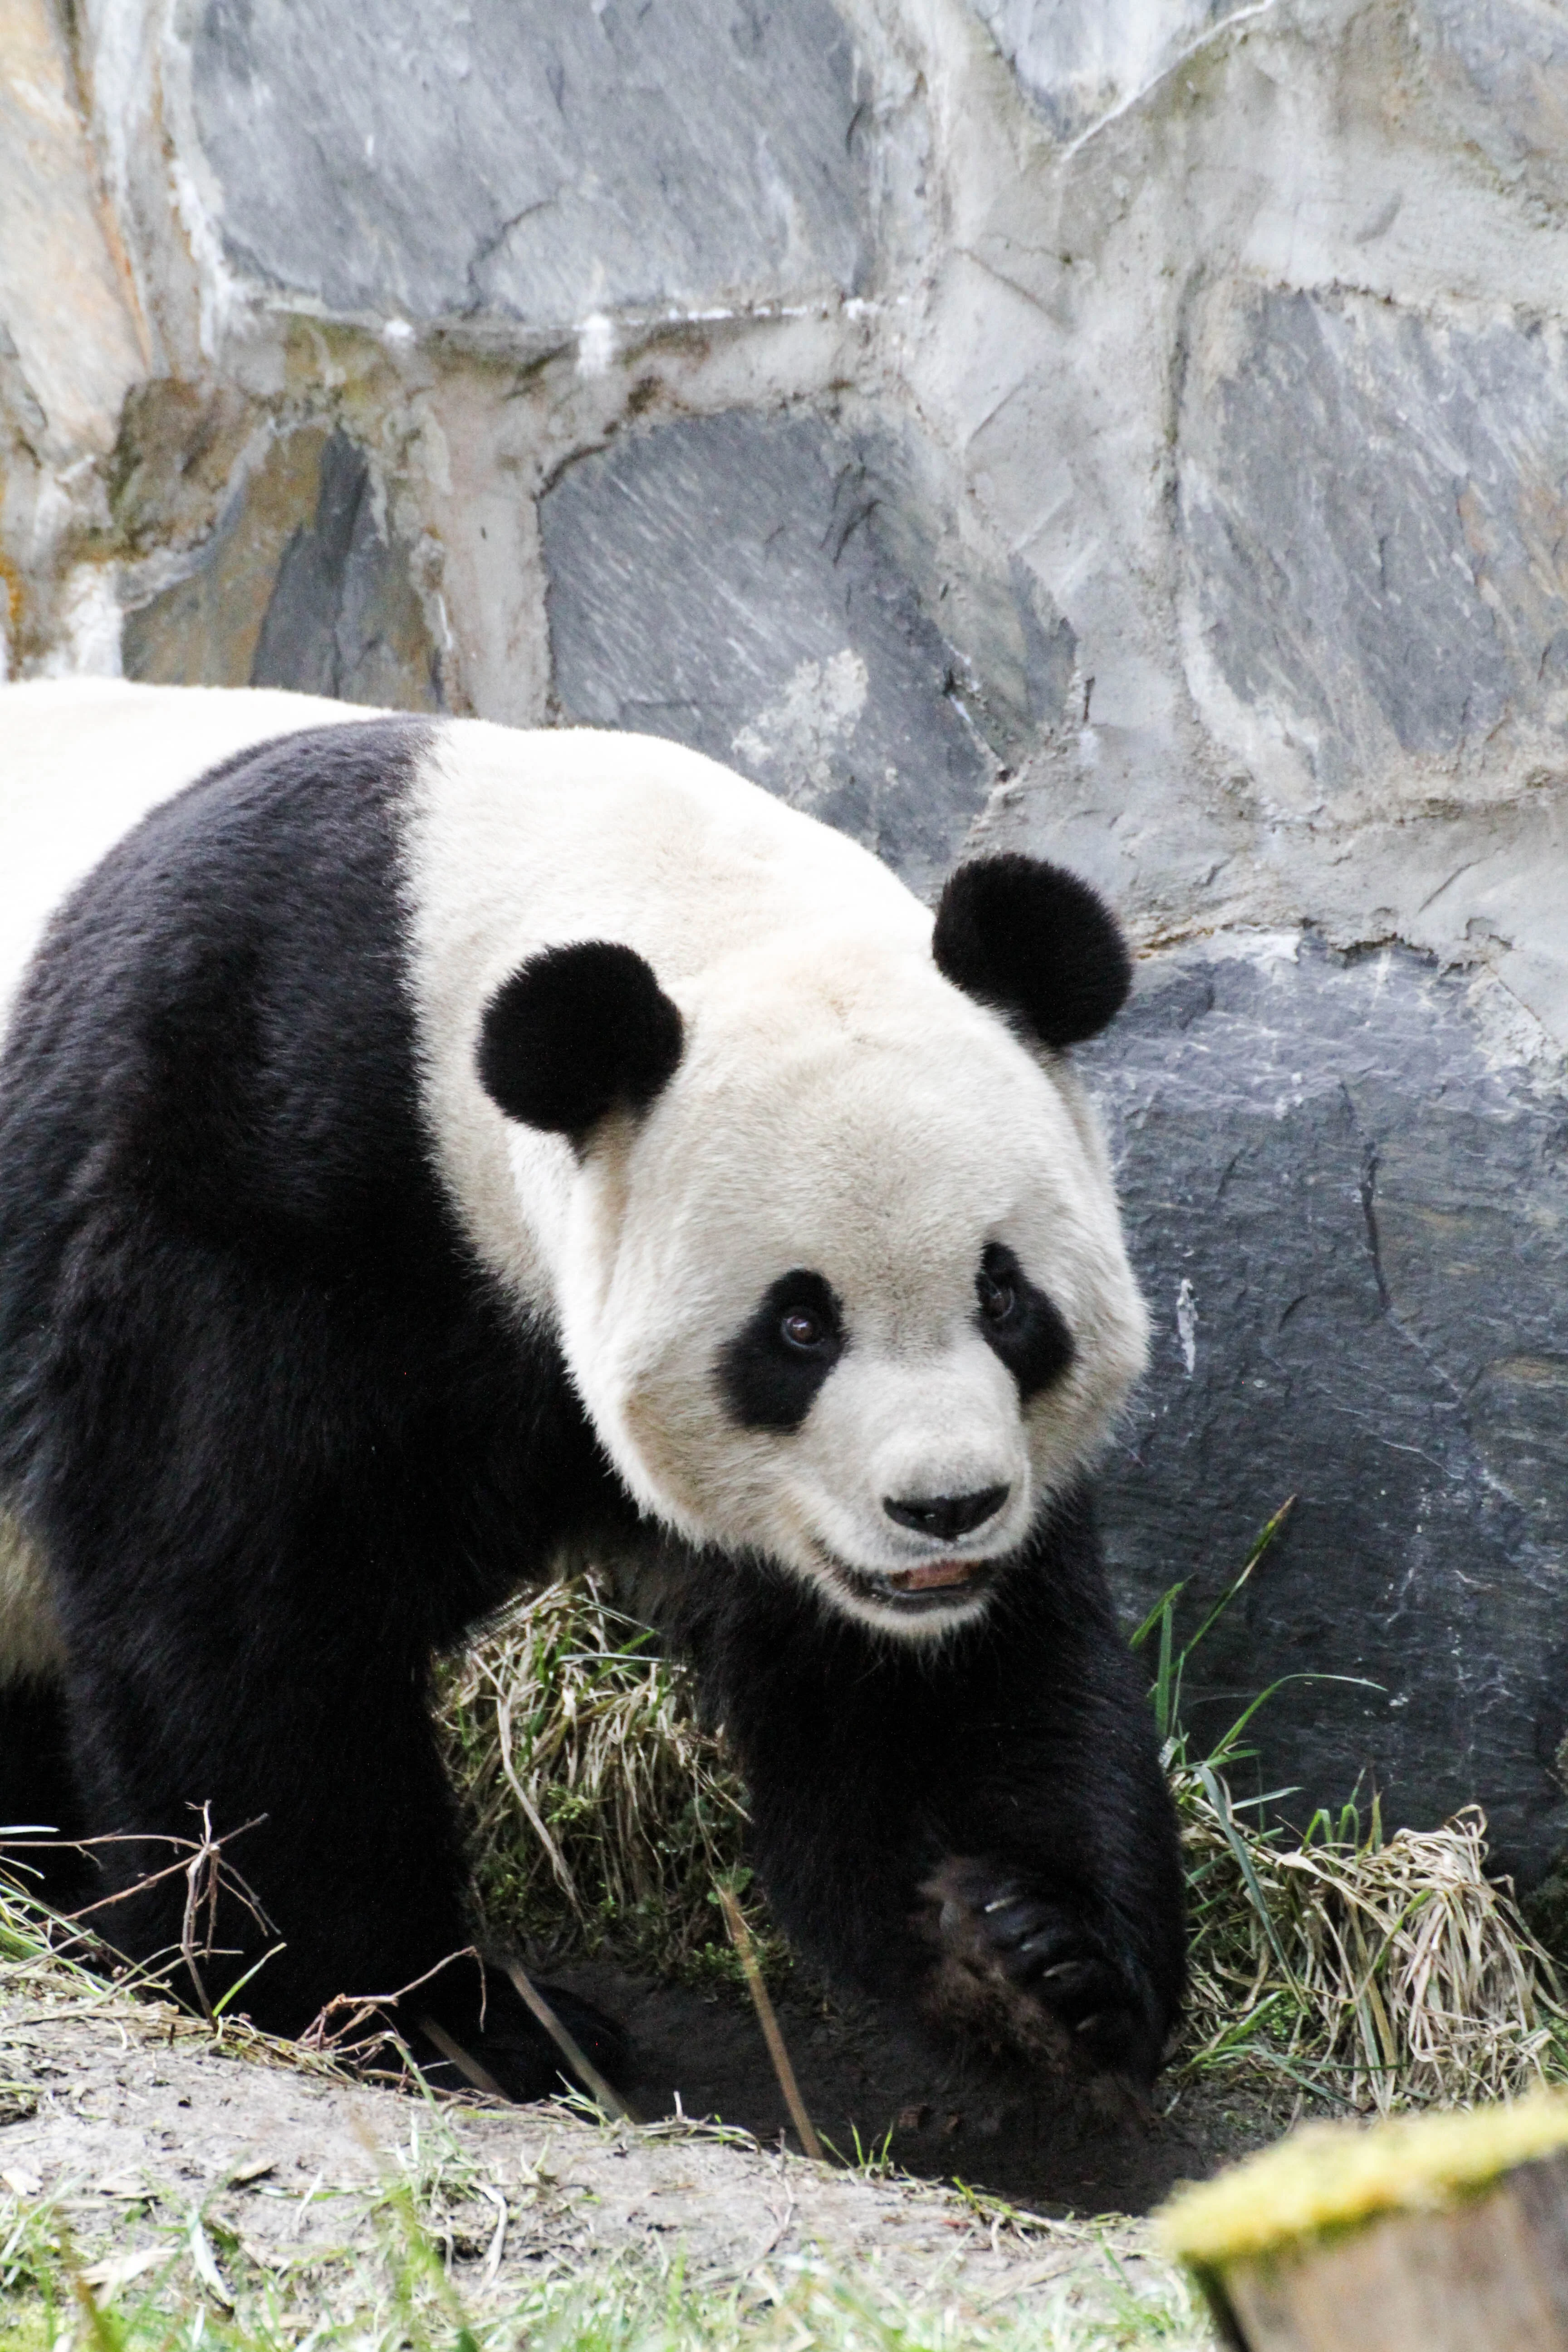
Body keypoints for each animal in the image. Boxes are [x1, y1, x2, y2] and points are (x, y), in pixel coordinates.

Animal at [0, 679, 1184, 2102]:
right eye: (799, 1325)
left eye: (1003, 1298)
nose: (944, 1512)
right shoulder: (245, 1171)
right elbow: (239, 1597)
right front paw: (410, 2008)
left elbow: (931, 1688)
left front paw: (1027, 1959)